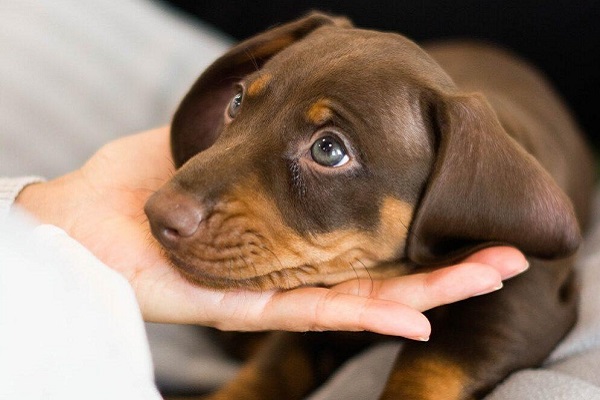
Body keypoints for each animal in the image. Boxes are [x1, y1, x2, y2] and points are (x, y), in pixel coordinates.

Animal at [145, 12, 596, 400]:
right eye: (237, 101)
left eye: (328, 150)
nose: (157, 214)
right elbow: (270, 369)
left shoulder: (523, 293)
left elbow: (432, 367)